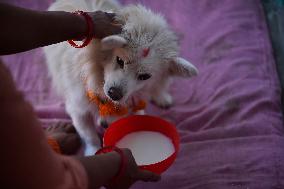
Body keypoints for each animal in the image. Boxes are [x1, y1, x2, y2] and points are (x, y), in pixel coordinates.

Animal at [43, 0, 197, 155]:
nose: (114, 93)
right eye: (119, 61)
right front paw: (93, 151)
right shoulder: (77, 108)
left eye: (144, 76)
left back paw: (161, 96)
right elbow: (89, 135)